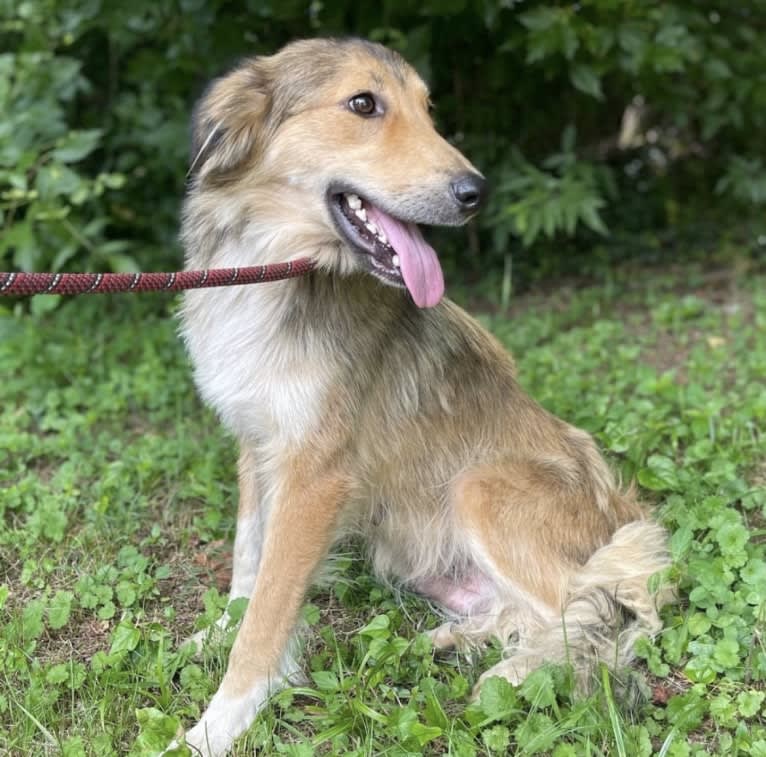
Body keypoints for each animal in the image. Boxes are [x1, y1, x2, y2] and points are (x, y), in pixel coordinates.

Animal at [180, 38, 672, 752]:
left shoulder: (315, 475)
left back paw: (510, 675)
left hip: (482, 486)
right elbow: (248, 559)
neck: (274, 264)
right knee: (538, 612)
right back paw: (454, 639)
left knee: (589, 616)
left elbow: (269, 613)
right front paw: (219, 631)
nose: (476, 193)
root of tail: (622, 511)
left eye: (428, 109)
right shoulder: (258, 440)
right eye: (363, 103)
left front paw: (218, 724)